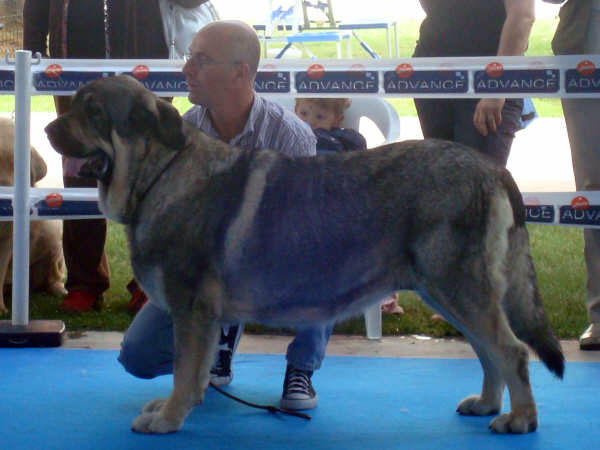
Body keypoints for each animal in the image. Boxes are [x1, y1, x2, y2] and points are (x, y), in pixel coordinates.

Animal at [45, 76, 564, 436]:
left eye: (93, 111)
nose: (48, 127)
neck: (161, 172)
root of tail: (492, 170)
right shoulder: (202, 317)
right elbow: (194, 374)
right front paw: (177, 408)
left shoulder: (192, 310)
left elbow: (182, 373)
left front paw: (169, 418)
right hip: (449, 293)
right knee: (489, 352)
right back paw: (487, 404)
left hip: (457, 288)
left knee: (511, 351)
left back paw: (520, 419)